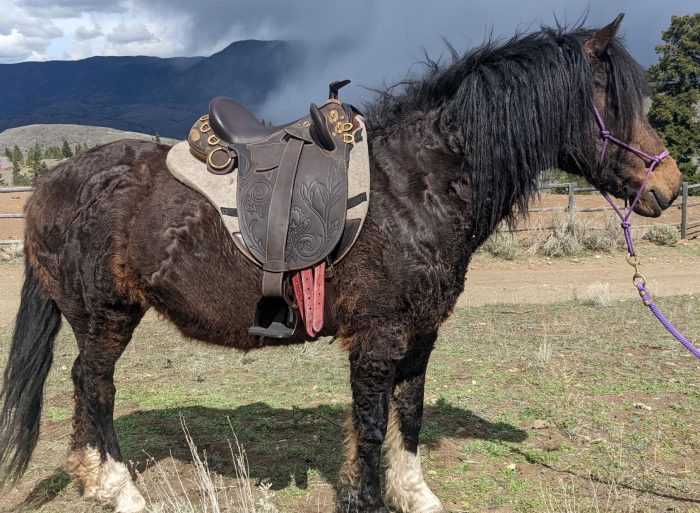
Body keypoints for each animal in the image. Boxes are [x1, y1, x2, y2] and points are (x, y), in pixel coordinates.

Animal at [0, 14, 682, 513]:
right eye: (612, 101)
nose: (670, 186)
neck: (417, 183)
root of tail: (51, 184)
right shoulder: (378, 336)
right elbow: (374, 423)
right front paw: (370, 499)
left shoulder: (420, 335)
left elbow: (409, 414)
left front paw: (413, 493)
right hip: (106, 315)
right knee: (95, 386)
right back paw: (121, 489)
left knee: (84, 388)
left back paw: (93, 479)